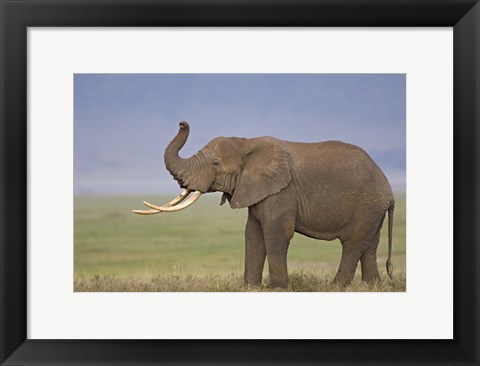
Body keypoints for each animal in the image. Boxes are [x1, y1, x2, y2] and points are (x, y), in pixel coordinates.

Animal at [133, 121, 396, 288]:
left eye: (216, 163)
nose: (182, 123)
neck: (246, 143)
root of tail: (389, 189)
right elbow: (252, 233)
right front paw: (250, 287)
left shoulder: (282, 191)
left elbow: (276, 232)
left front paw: (278, 289)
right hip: (372, 207)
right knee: (370, 244)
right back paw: (372, 287)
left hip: (367, 203)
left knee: (353, 242)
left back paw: (336, 287)